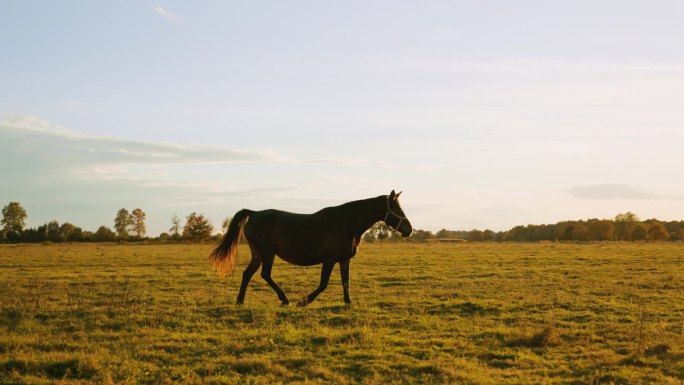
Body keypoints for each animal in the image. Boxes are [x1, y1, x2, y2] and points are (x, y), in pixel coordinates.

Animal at [208, 189, 412, 306]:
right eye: (397, 208)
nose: (409, 230)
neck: (347, 223)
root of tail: (254, 213)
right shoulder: (329, 260)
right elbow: (323, 284)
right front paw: (304, 301)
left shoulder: (344, 260)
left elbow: (345, 282)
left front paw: (348, 302)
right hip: (268, 253)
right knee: (265, 274)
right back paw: (285, 300)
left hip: (258, 254)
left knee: (248, 274)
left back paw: (240, 301)